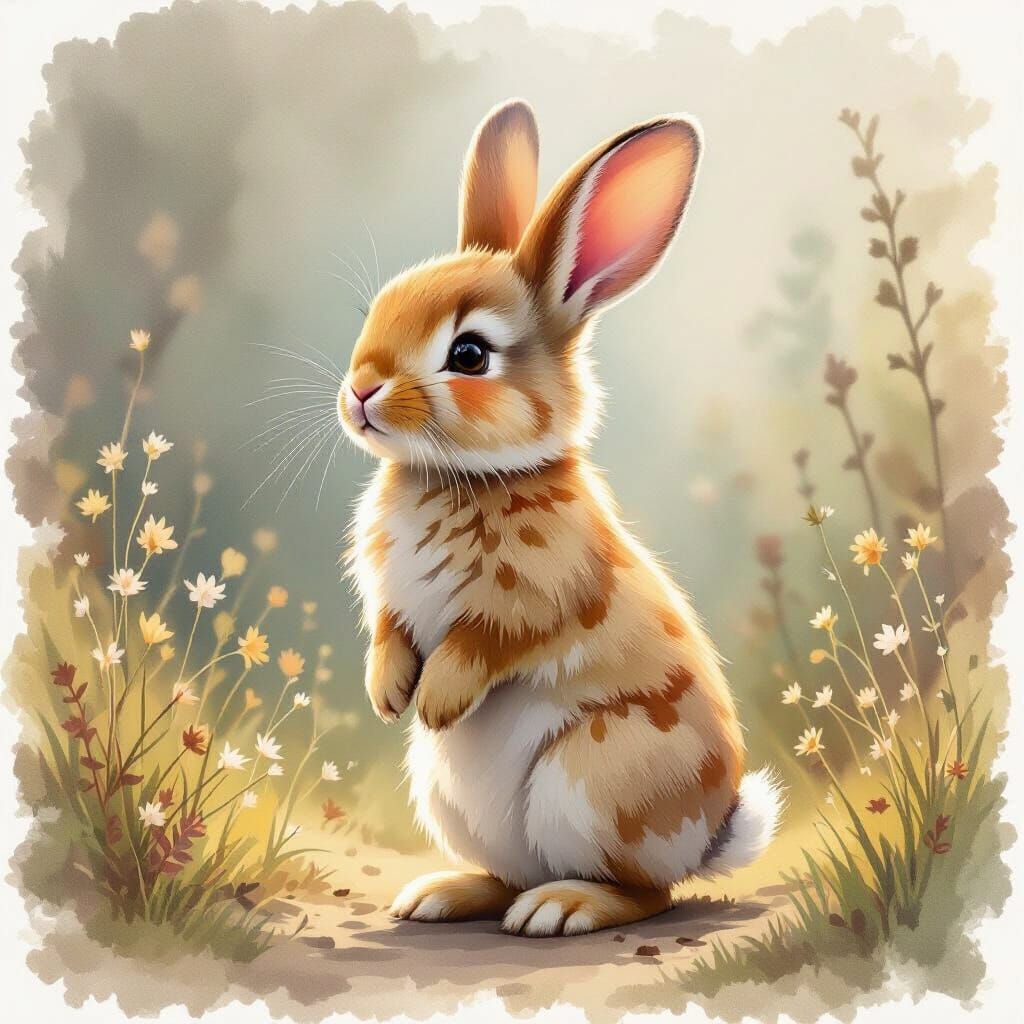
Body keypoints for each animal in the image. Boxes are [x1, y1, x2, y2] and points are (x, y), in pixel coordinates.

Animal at [339, 99, 782, 937]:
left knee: (647, 892)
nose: (360, 392)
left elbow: (488, 642)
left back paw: (562, 908)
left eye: (469, 355)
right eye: (378, 311)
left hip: (593, 778)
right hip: (454, 800)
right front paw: (388, 694)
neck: (461, 476)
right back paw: (442, 896)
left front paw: (436, 700)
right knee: (509, 875)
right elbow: (388, 631)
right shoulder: (391, 601)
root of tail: (711, 837)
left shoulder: (535, 597)